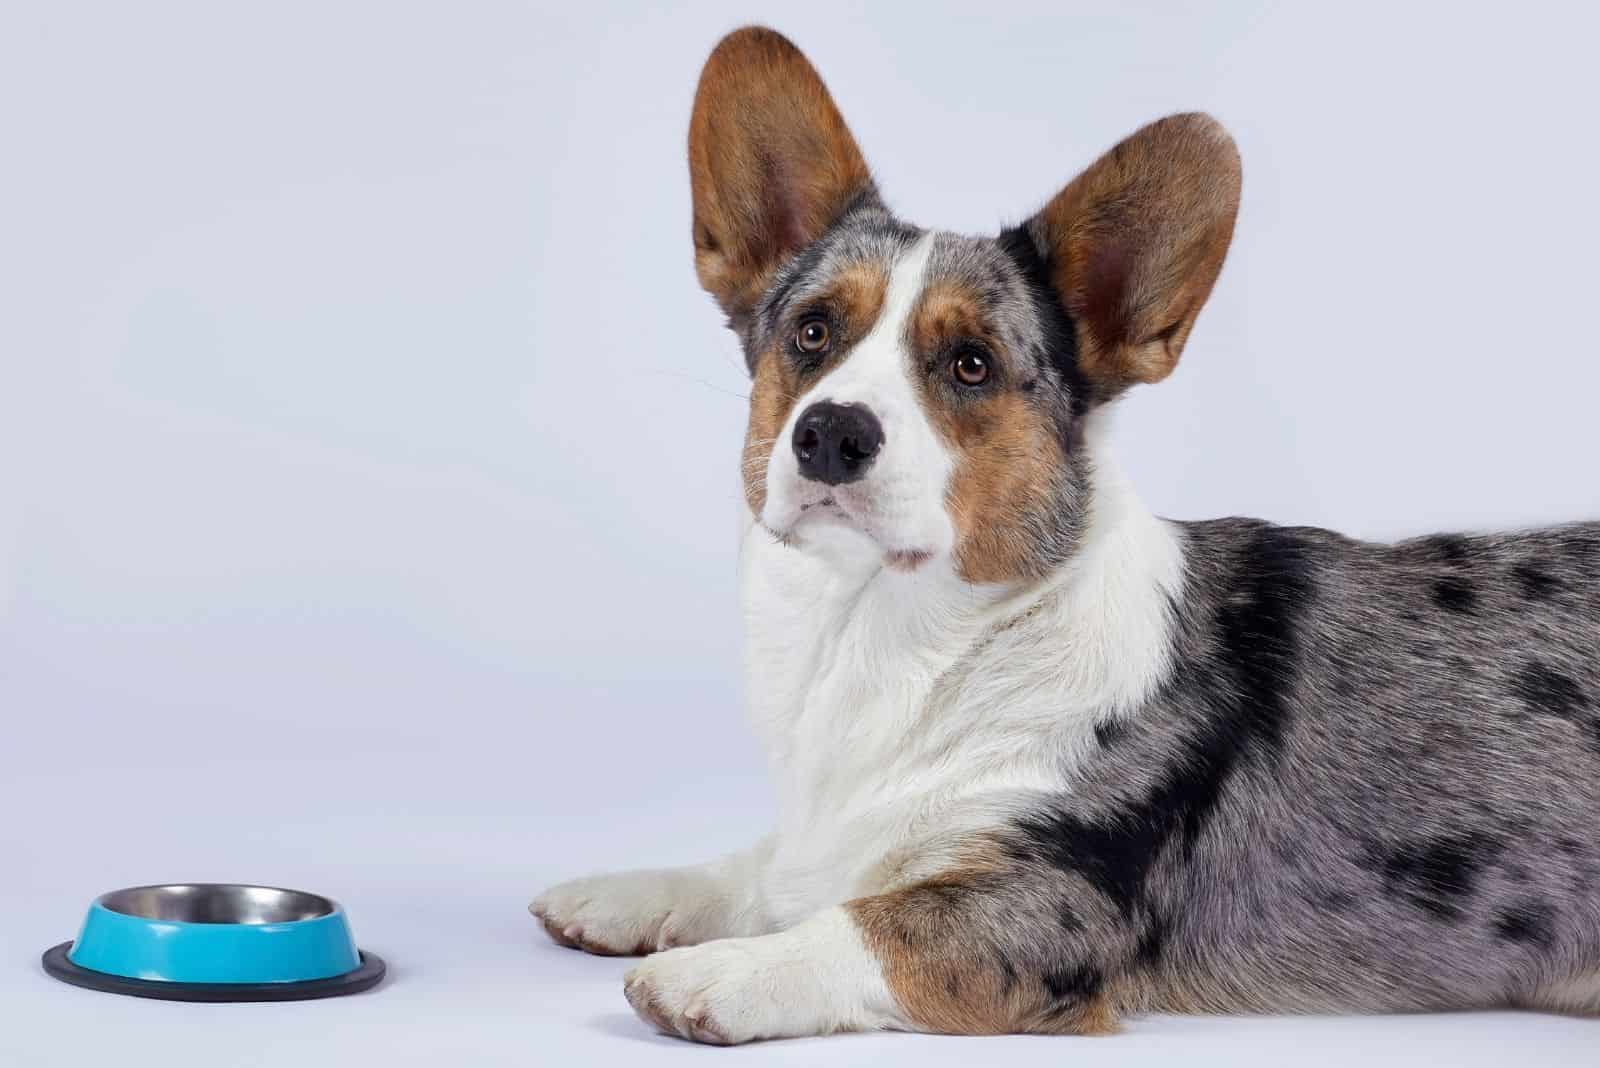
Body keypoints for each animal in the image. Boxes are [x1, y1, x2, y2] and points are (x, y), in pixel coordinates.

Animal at [528, 27, 1600, 1042]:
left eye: (970, 364)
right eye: (812, 332)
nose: (829, 433)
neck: (883, 635)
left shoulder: (1047, 905)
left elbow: (865, 924)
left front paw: (717, 974)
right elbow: (761, 867)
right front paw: (632, 894)